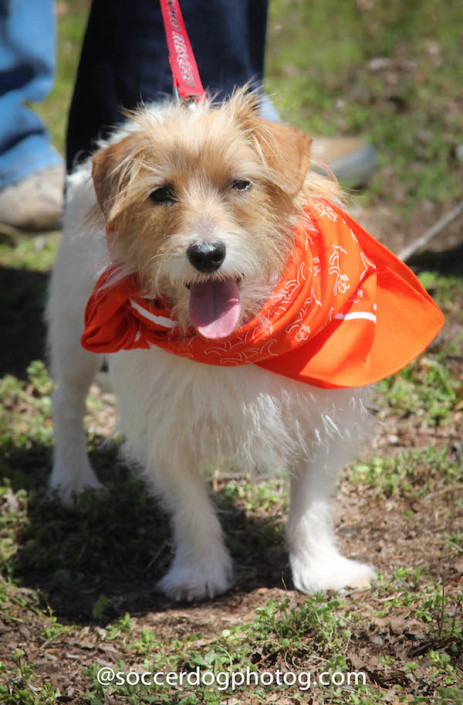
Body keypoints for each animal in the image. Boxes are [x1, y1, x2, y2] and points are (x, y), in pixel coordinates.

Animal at [47, 89, 378, 600]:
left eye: (241, 184)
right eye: (161, 194)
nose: (206, 254)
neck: (239, 337)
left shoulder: (320, 413)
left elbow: (310, 504)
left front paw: (320, 569)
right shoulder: (164, 426)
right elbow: (191, 508)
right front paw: (199, 572)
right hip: (73, 332)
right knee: (66, 400)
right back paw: (73, 479)